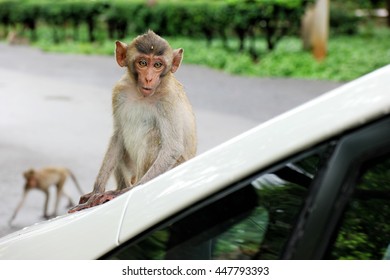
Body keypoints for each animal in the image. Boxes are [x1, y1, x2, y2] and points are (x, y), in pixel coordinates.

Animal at [68, 30, 197, 212]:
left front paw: (122, 195)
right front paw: (96, 191)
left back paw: (124, 189)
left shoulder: (168, 100)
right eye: (143, 63)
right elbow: (118, 136)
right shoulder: (119, 91)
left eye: (157, 65)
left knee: (153, 136)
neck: (142, 94)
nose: (149, 78)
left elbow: (172, 147)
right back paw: (121, 187)